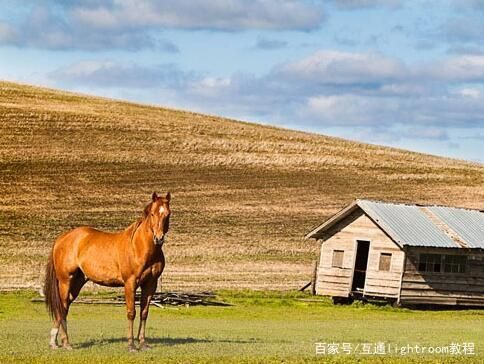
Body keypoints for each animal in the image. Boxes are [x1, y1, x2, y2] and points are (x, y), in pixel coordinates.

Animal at [43, 192, 171, 352]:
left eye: (168, 214)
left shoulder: (150, 284)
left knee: (64, 309)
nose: (158, 238)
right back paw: (65, 343)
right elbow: (131, 313)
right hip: (65, 281)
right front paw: (131, 345)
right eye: (153, 214)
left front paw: (142, 343)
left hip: (77, 282)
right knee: (62, 307)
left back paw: (55, 342)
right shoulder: (130, 283)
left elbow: (144, 313)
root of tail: (63, 238)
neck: (139, 247)